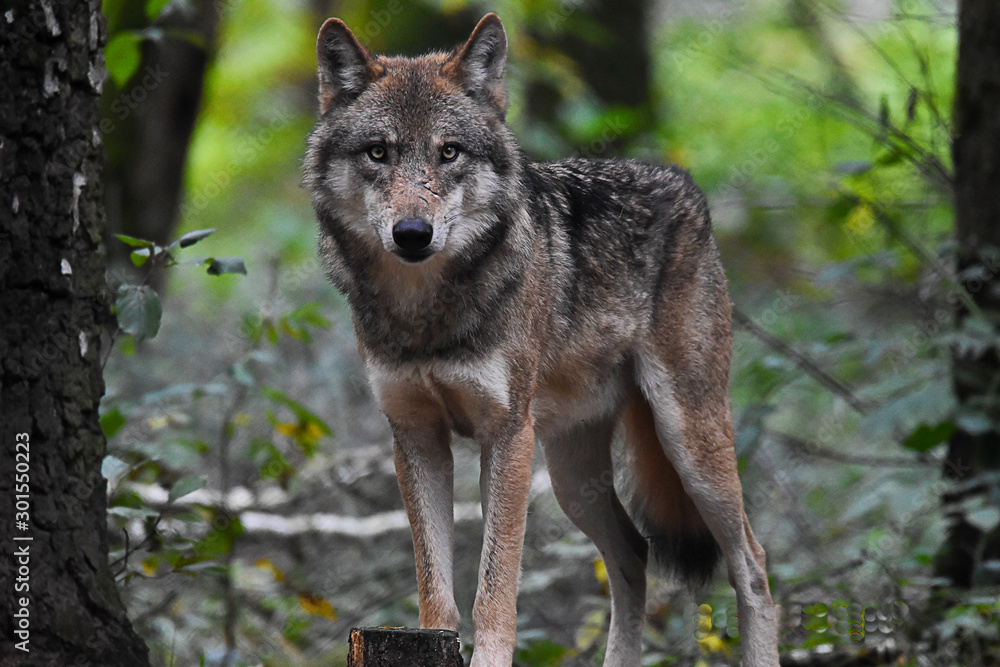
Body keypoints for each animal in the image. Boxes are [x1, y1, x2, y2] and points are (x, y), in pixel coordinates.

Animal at [304, 13, 779, 666]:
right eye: (379, 152)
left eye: (448, 152)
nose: (413, 233)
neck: (425, 314)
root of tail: (682, 181)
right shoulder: (416, 437)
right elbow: (436, 593)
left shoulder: (507, 435)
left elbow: (495, 591)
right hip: (571, 476)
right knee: (634, 554)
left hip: (688, 442)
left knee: (751, 564)